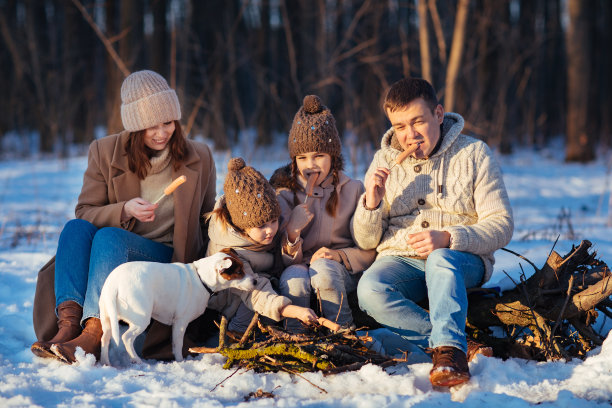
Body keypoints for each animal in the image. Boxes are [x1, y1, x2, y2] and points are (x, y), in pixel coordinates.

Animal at [100, 247, 256, 364]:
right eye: (239, 272)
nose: (255, 281)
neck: (201, 278)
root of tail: (114, 284)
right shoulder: (181, 322)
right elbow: (178, 344)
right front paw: (180, 361)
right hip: (141, 319)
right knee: (126, 338)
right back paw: (136, 360)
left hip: (107, 318)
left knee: (105, 339)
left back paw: (106, 363)